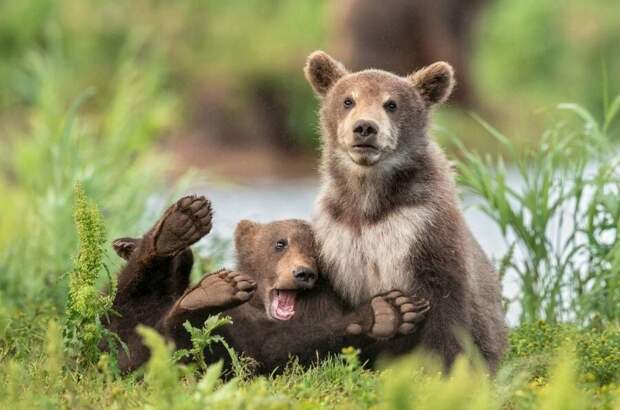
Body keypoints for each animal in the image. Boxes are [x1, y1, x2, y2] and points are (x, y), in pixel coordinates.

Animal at [106, 196, 428, 374]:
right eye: (280, 243)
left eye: (317, 253)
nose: (303, 273)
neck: (260, 306)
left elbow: (279, 348)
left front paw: (389, 311)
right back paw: (176, 228)